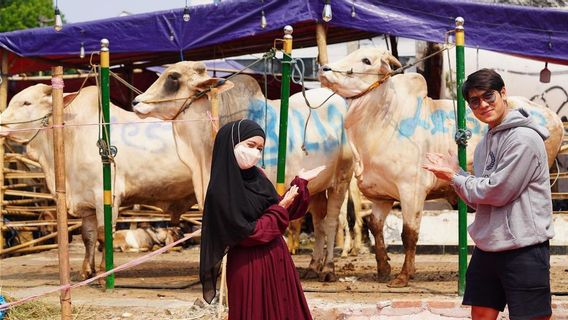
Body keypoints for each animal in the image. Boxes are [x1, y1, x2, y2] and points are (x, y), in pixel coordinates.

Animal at [0, 85, 195, 280]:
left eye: (26, 102)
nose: (1, 124)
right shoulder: (87, 204)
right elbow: (88, 237)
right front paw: (87, 271)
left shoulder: (106, 198)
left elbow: (104, 236)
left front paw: (103, 273)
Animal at [134, 63, 356, 282]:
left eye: (173, 77)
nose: (136, 102)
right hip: (317, 190)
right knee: (318, 224)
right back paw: (313, 267)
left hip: (341, 182)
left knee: (331, 222)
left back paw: (328, 269)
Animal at [320, 48, 564, 288]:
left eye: (366, 60)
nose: (324, 69)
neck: (382, 119)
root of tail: (554, 117)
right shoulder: (381, 195)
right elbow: (375, 226)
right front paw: (383, 269)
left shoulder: (412, 190)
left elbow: (409, 233)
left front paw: (404, 276)